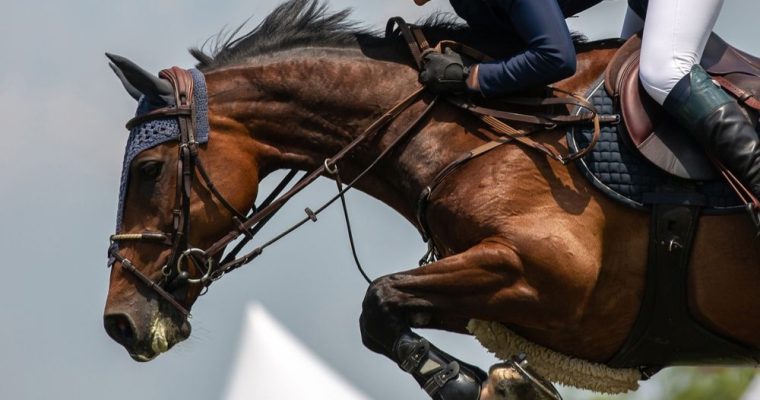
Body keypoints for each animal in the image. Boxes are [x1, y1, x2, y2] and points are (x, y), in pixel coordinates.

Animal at [102, 0, 760, 398]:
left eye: (149, 169)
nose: (119, 323)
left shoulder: (554, 278)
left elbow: (378, 298)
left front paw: (474, 384)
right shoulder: (517, 299)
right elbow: (385, 310)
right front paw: (484, 380)